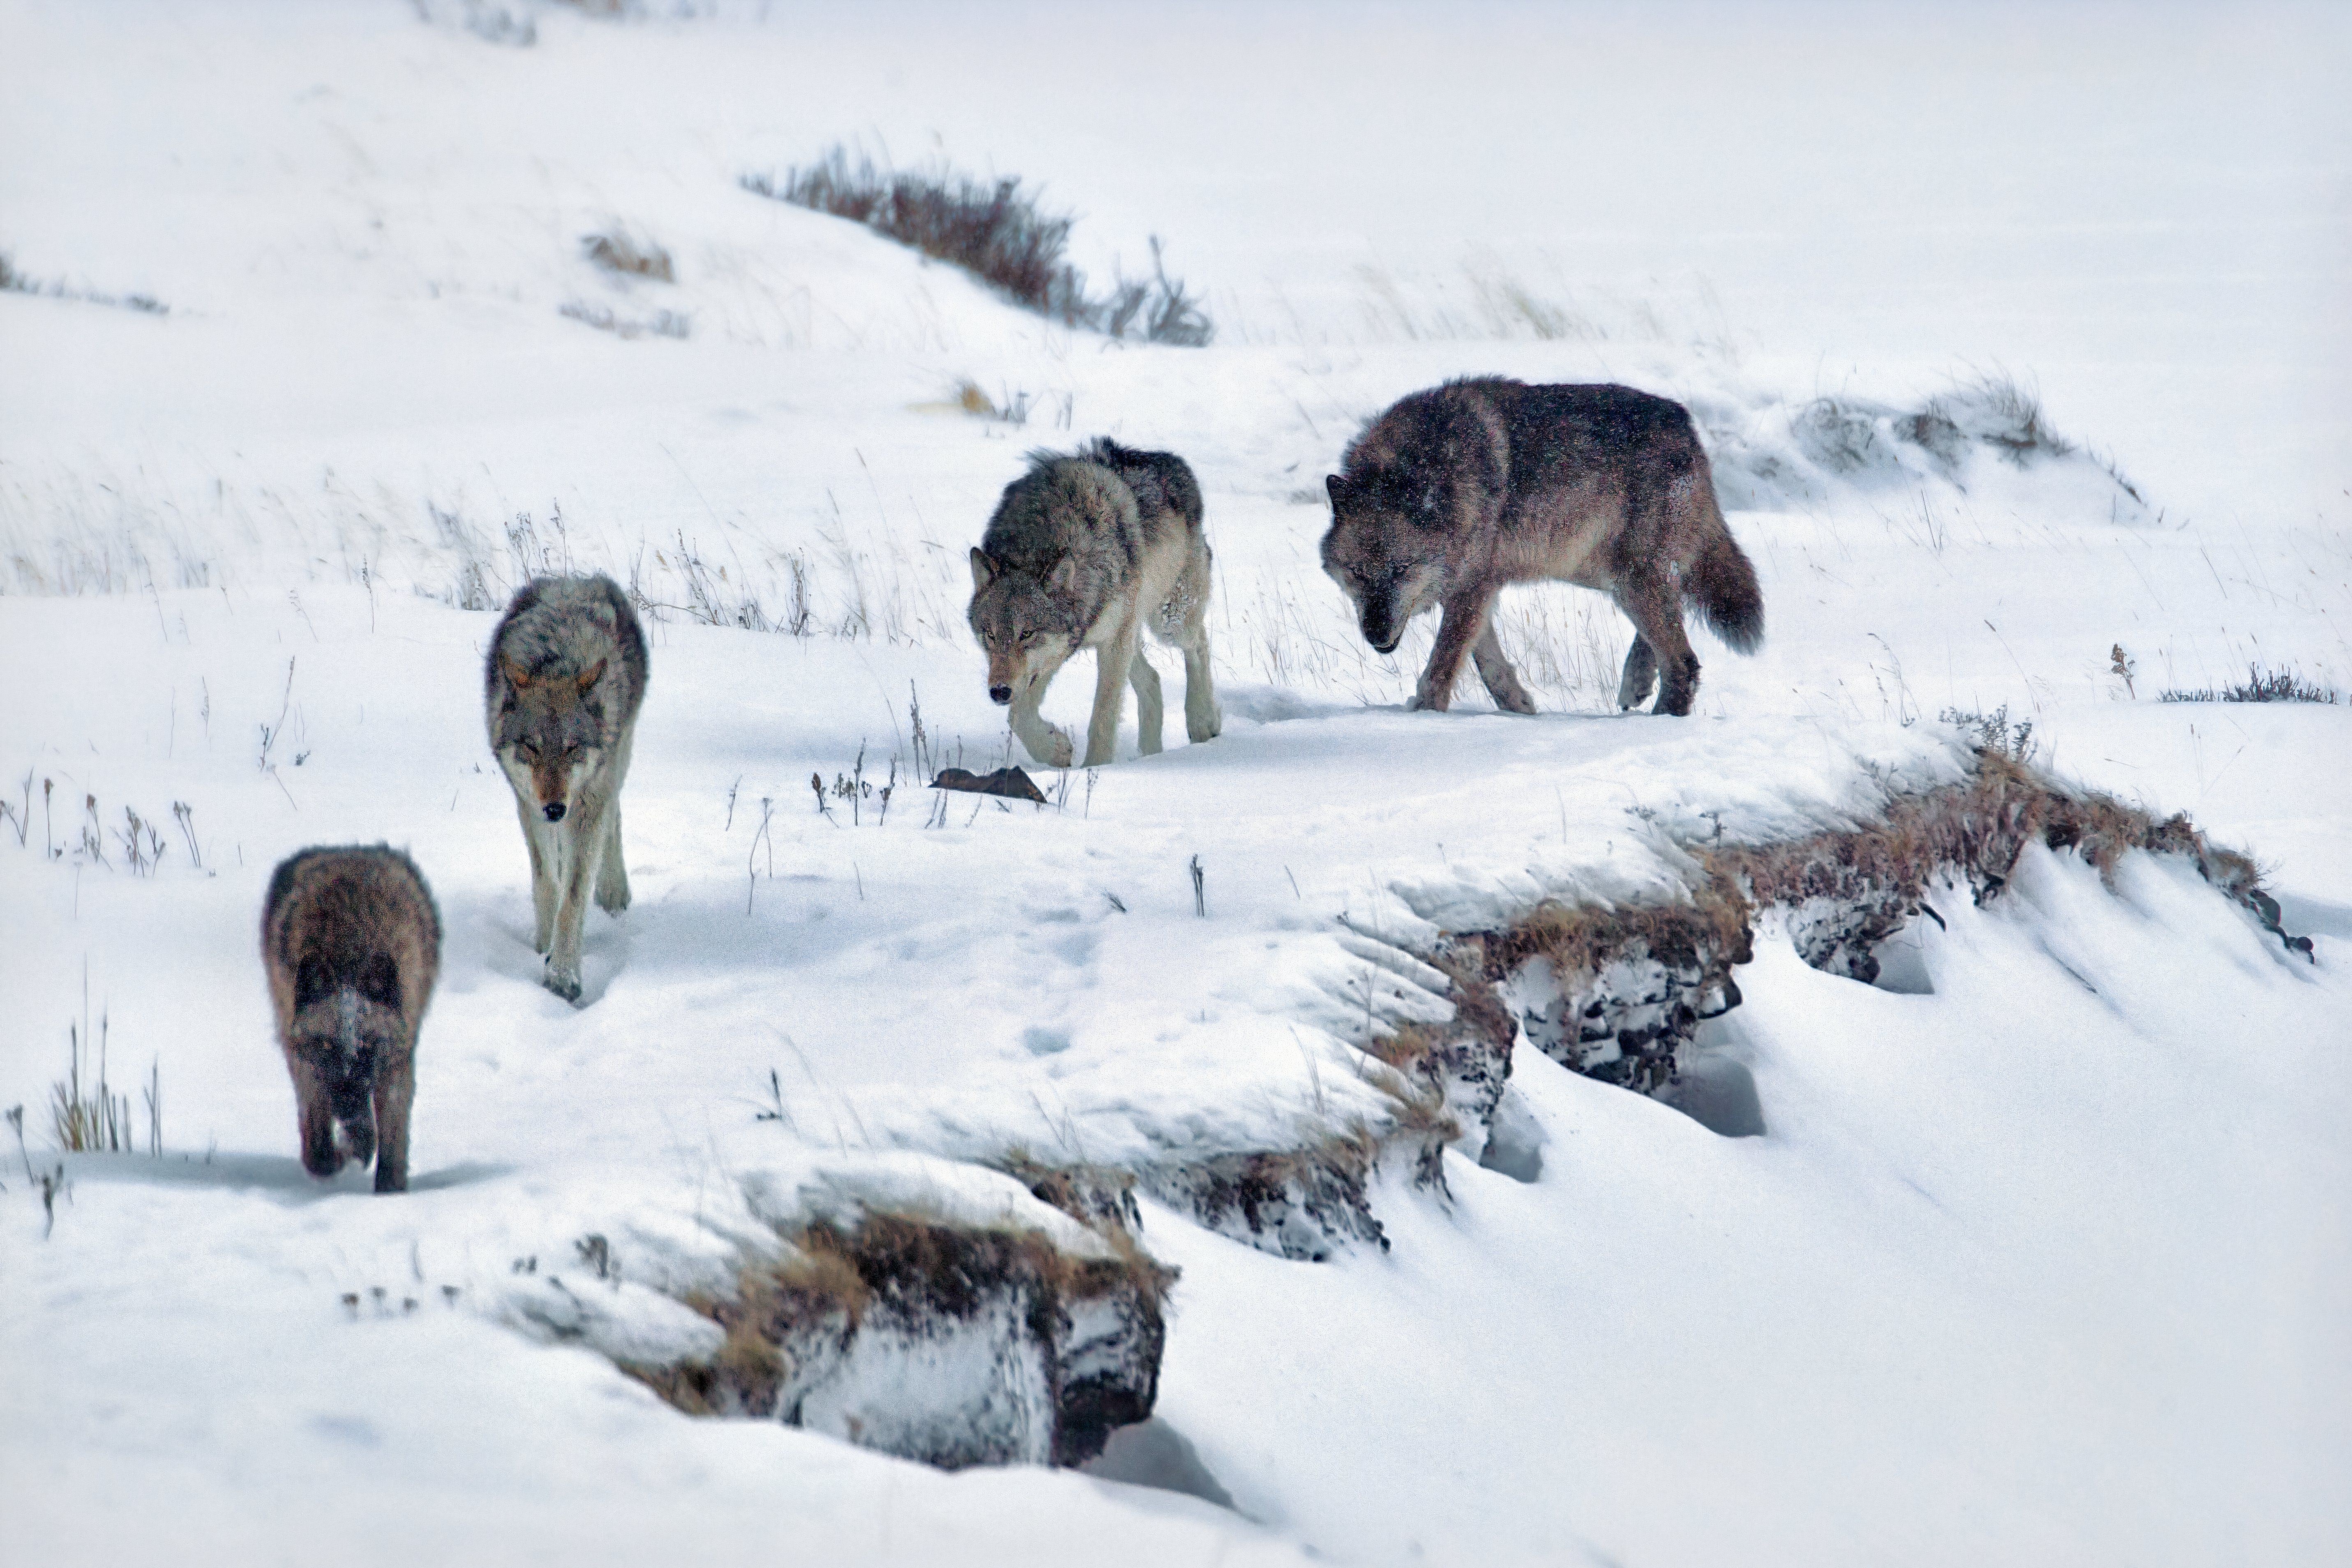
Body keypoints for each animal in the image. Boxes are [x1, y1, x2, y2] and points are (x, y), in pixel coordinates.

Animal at [263, 845, 441, 1193]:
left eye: (367, 1047)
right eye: (326, 1047)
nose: (348, 1112)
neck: (348, 949)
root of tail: (346, 849)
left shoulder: (395, 1062)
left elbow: (392, 1140)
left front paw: (390, 1190)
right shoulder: (308, 1063)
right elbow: (318, 1148)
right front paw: (344, 1154)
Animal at [486, 573, 649, 1002]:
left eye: (572, 748)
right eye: (532, 747)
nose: (556, 808)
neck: (558, 659)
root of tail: (575, 578)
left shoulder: (589, 799)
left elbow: (573, 896)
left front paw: (562, 975)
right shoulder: (529, 803)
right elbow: (548, 882)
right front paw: (543, 947)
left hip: (617, 760)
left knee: (614, 816)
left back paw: (614, 895)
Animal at [968, 437, 1221, 768]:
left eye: (1026, 634)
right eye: (990, 635)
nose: (999, 692)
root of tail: (1175, 462)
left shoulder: (1110, 642)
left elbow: (1103, 716)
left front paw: (1095, 770)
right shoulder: (1058, 652)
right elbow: (1018, 716)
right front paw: (1056, 749)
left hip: (1167, 622)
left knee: (1199, 645)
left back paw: (1204, 722)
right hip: (1132, 631)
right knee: (1153, 679)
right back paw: (1150, 755)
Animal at [1321, 379, 1763, 717]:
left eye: (1402, 569)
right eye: (1358, 573)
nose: (1375, 633)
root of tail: (1684, 422)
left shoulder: (1471, 588)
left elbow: (1442, 665)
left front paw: (1423, 717)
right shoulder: (1476, 588)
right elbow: (1488, 664)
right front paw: (1519, 708)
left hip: (1627, 579)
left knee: (1684, 662)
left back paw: (1656, 723)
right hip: (1607, 574)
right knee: (1676, 614)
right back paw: (1635, 684)